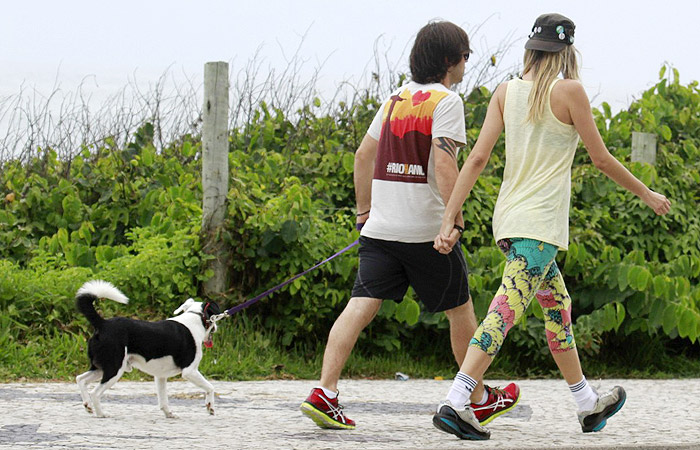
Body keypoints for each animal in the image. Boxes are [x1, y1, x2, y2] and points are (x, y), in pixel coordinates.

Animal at [75, 282, 220, 418]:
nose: (216, 327)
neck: (195, 319)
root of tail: (103, 323)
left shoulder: (161, 376)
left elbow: (163, 400)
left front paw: (169, 414)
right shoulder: (190, 371)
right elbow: (210, 387)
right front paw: (210, 407)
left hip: (101, 367)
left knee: (80, 379)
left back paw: (88, 405)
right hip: (114, 369)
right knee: (95, 392)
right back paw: (101, 414)